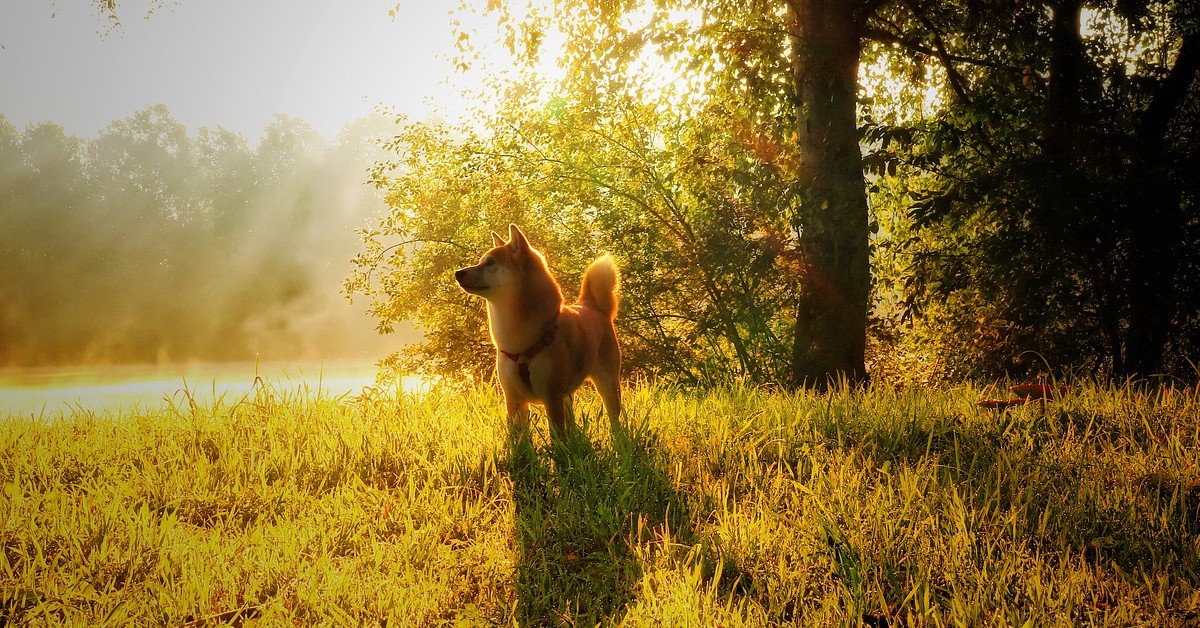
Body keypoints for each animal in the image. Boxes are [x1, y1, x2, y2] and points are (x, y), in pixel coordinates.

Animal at [456, 225, 624, 441]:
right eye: (481, 261)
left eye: (490, 262)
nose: (458, 273)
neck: (518, 343)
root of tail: (591, 305)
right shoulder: (513, 399)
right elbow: (518, 439)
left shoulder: (551, 397)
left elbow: (557, 437)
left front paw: (560, 450)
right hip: (566, 395)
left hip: (607, 384)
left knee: (614, 416)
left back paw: (619, 439)